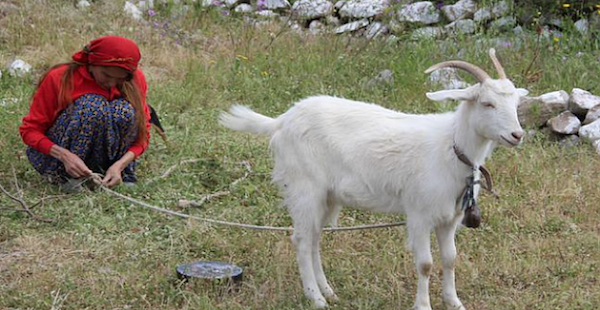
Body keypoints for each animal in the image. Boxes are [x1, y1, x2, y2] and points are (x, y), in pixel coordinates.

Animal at [218, 49, 528, 310]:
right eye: (487, 103)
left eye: (516, 103)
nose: (517, 135)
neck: (450, 147)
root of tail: (282, 120)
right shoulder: (419, 214)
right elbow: (426, 264)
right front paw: (423, 305)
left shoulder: (449, 218)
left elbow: (450, 259)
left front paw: (454, 302)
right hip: (305, 187)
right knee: (302, 240)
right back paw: (316, 298)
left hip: (327, 196)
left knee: (315, 238)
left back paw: (328, 291)